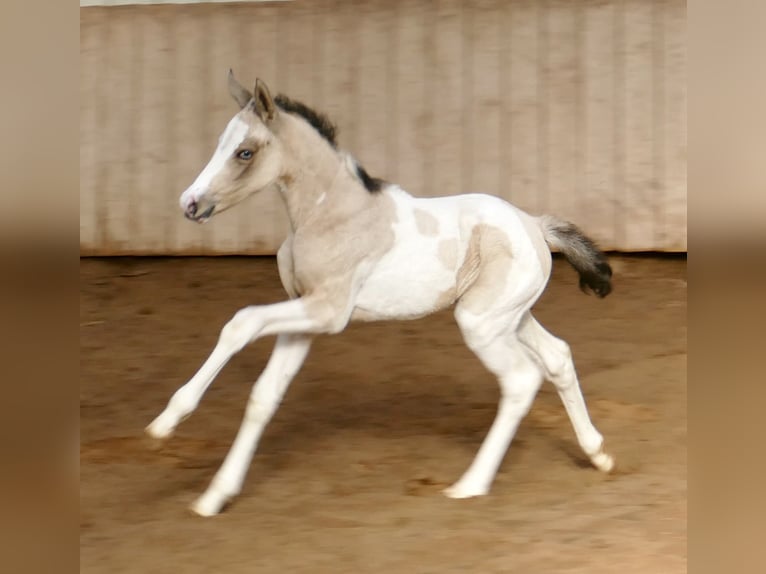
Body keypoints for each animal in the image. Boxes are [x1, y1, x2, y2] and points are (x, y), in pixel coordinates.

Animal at [145, 70, 615, 517]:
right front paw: (213, 497)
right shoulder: (304, 318)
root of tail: (535, 224)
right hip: (510, 318)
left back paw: (470, 485)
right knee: (557, 356)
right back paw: (597, 453)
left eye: (245, 152)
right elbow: (264, 396)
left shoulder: (328, 311)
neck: (328, 215)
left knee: (520, 378)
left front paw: (166, 422)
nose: (190, 203)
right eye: (220, 143)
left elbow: (241, 322)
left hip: (480, 323)